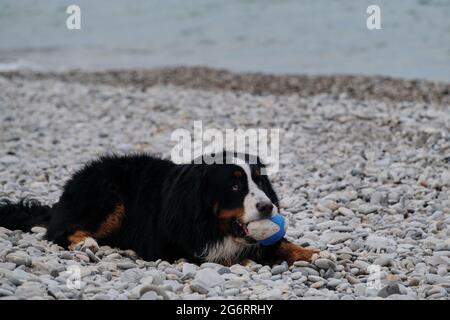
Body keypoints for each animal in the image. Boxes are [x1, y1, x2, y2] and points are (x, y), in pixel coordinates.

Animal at [0, 151, 316, 266]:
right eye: (235, 186)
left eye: (260, 180)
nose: (267, 206)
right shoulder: (179, 248)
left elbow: (280, 243)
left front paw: (310, 253)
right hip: (109, 196)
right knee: (60, 231)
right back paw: (85, 243)